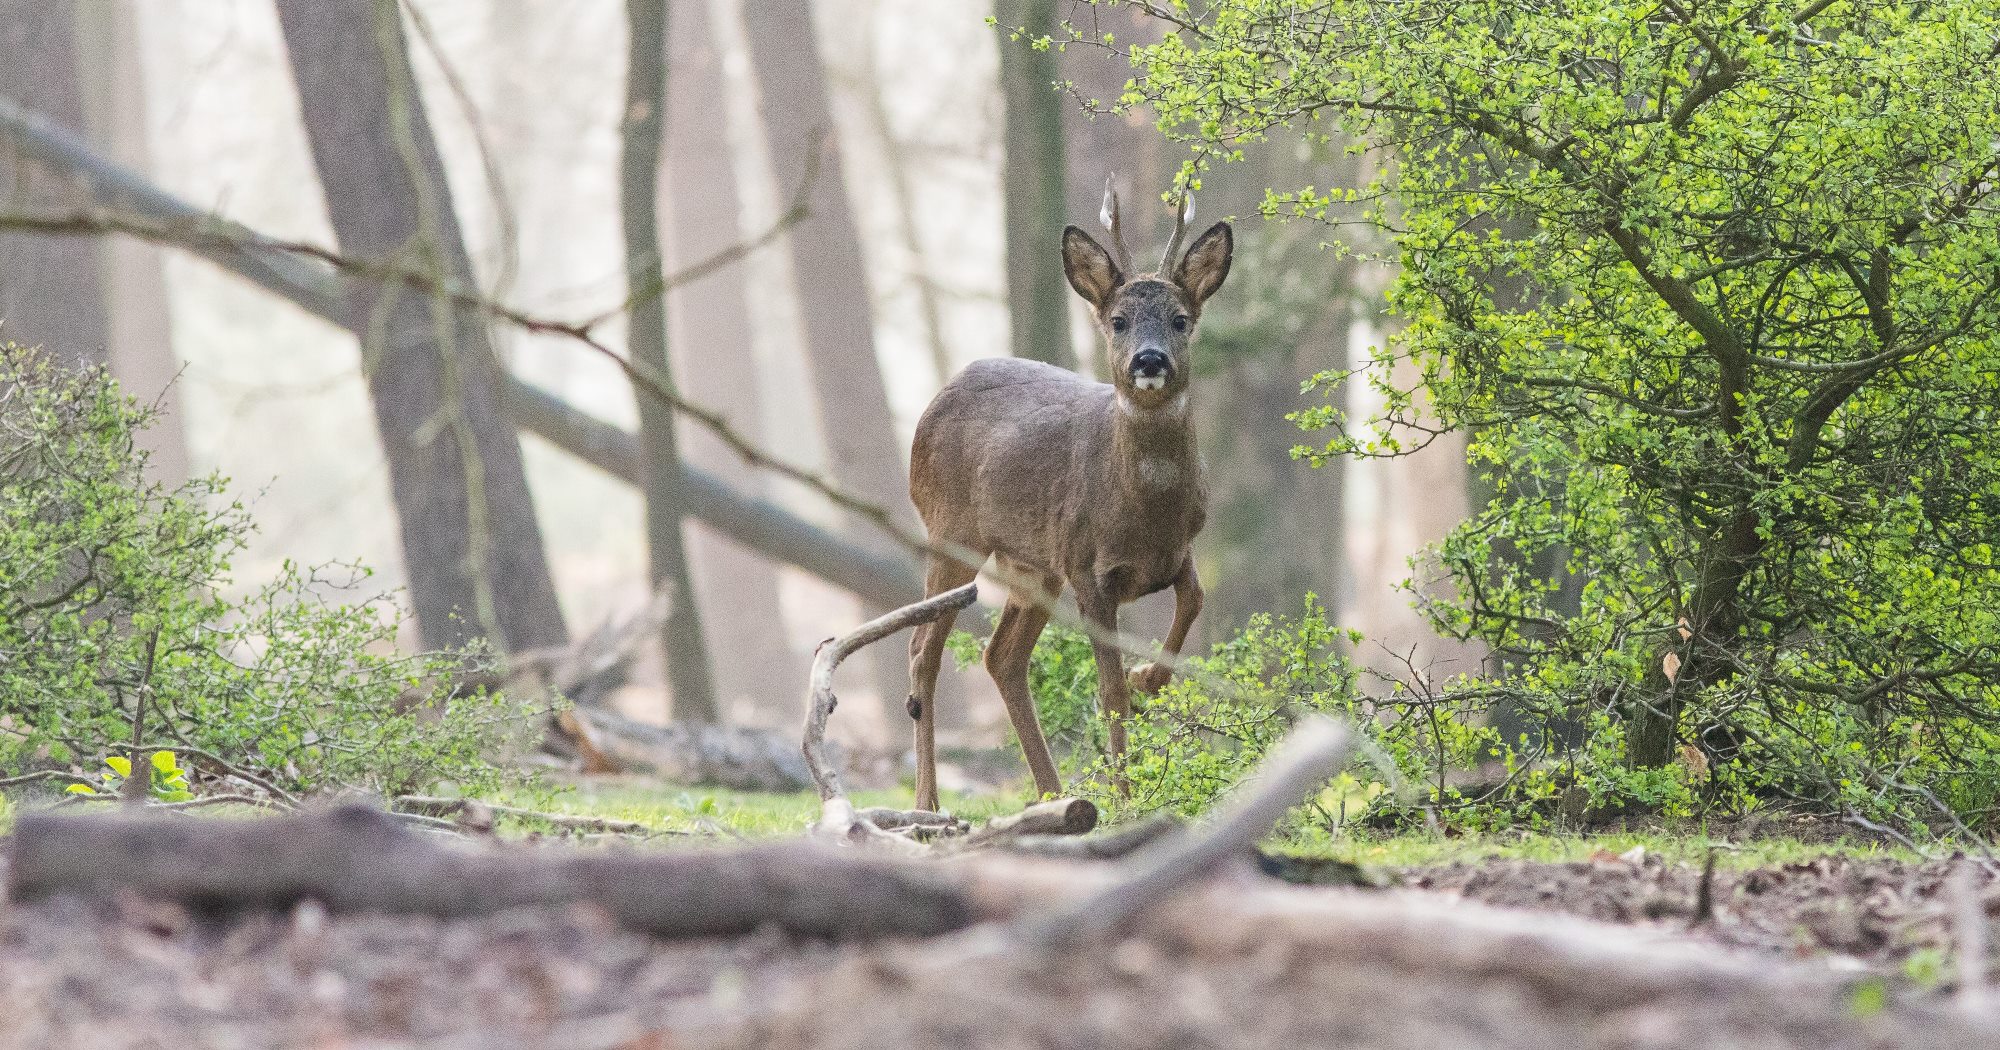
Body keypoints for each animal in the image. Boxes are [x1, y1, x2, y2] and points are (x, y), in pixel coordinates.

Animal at [912, 184, 1232, 808]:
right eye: (1119, 320)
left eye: (1181, 319)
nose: (1149, 360)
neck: (1146, 511)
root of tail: (929, 407)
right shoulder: (1088, 565)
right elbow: (1108, 692)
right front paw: (1129, 797)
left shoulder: (1178, 552)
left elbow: (1195, 602)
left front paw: (1147, 679)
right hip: (951, 531)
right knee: (923, 650)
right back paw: (928, 802)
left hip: (1032, 563)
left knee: (1001, 656)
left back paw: (1052, 793)